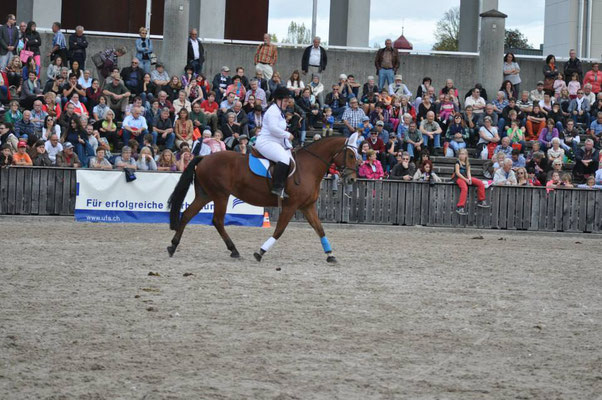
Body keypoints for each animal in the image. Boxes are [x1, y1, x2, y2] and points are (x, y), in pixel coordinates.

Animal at [166, 134, 358, 264]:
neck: (308, 167)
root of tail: (204, 157)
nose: (352, 179)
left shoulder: (307, 206)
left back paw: (173, 246)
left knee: (187, 215)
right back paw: (234, 250)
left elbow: (320, 229)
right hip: (220, 195)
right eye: (351, 155)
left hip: (205, 195)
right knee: (217, 221)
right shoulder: (291, 206)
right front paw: (260, 252)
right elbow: (279, 230)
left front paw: (330, 254)